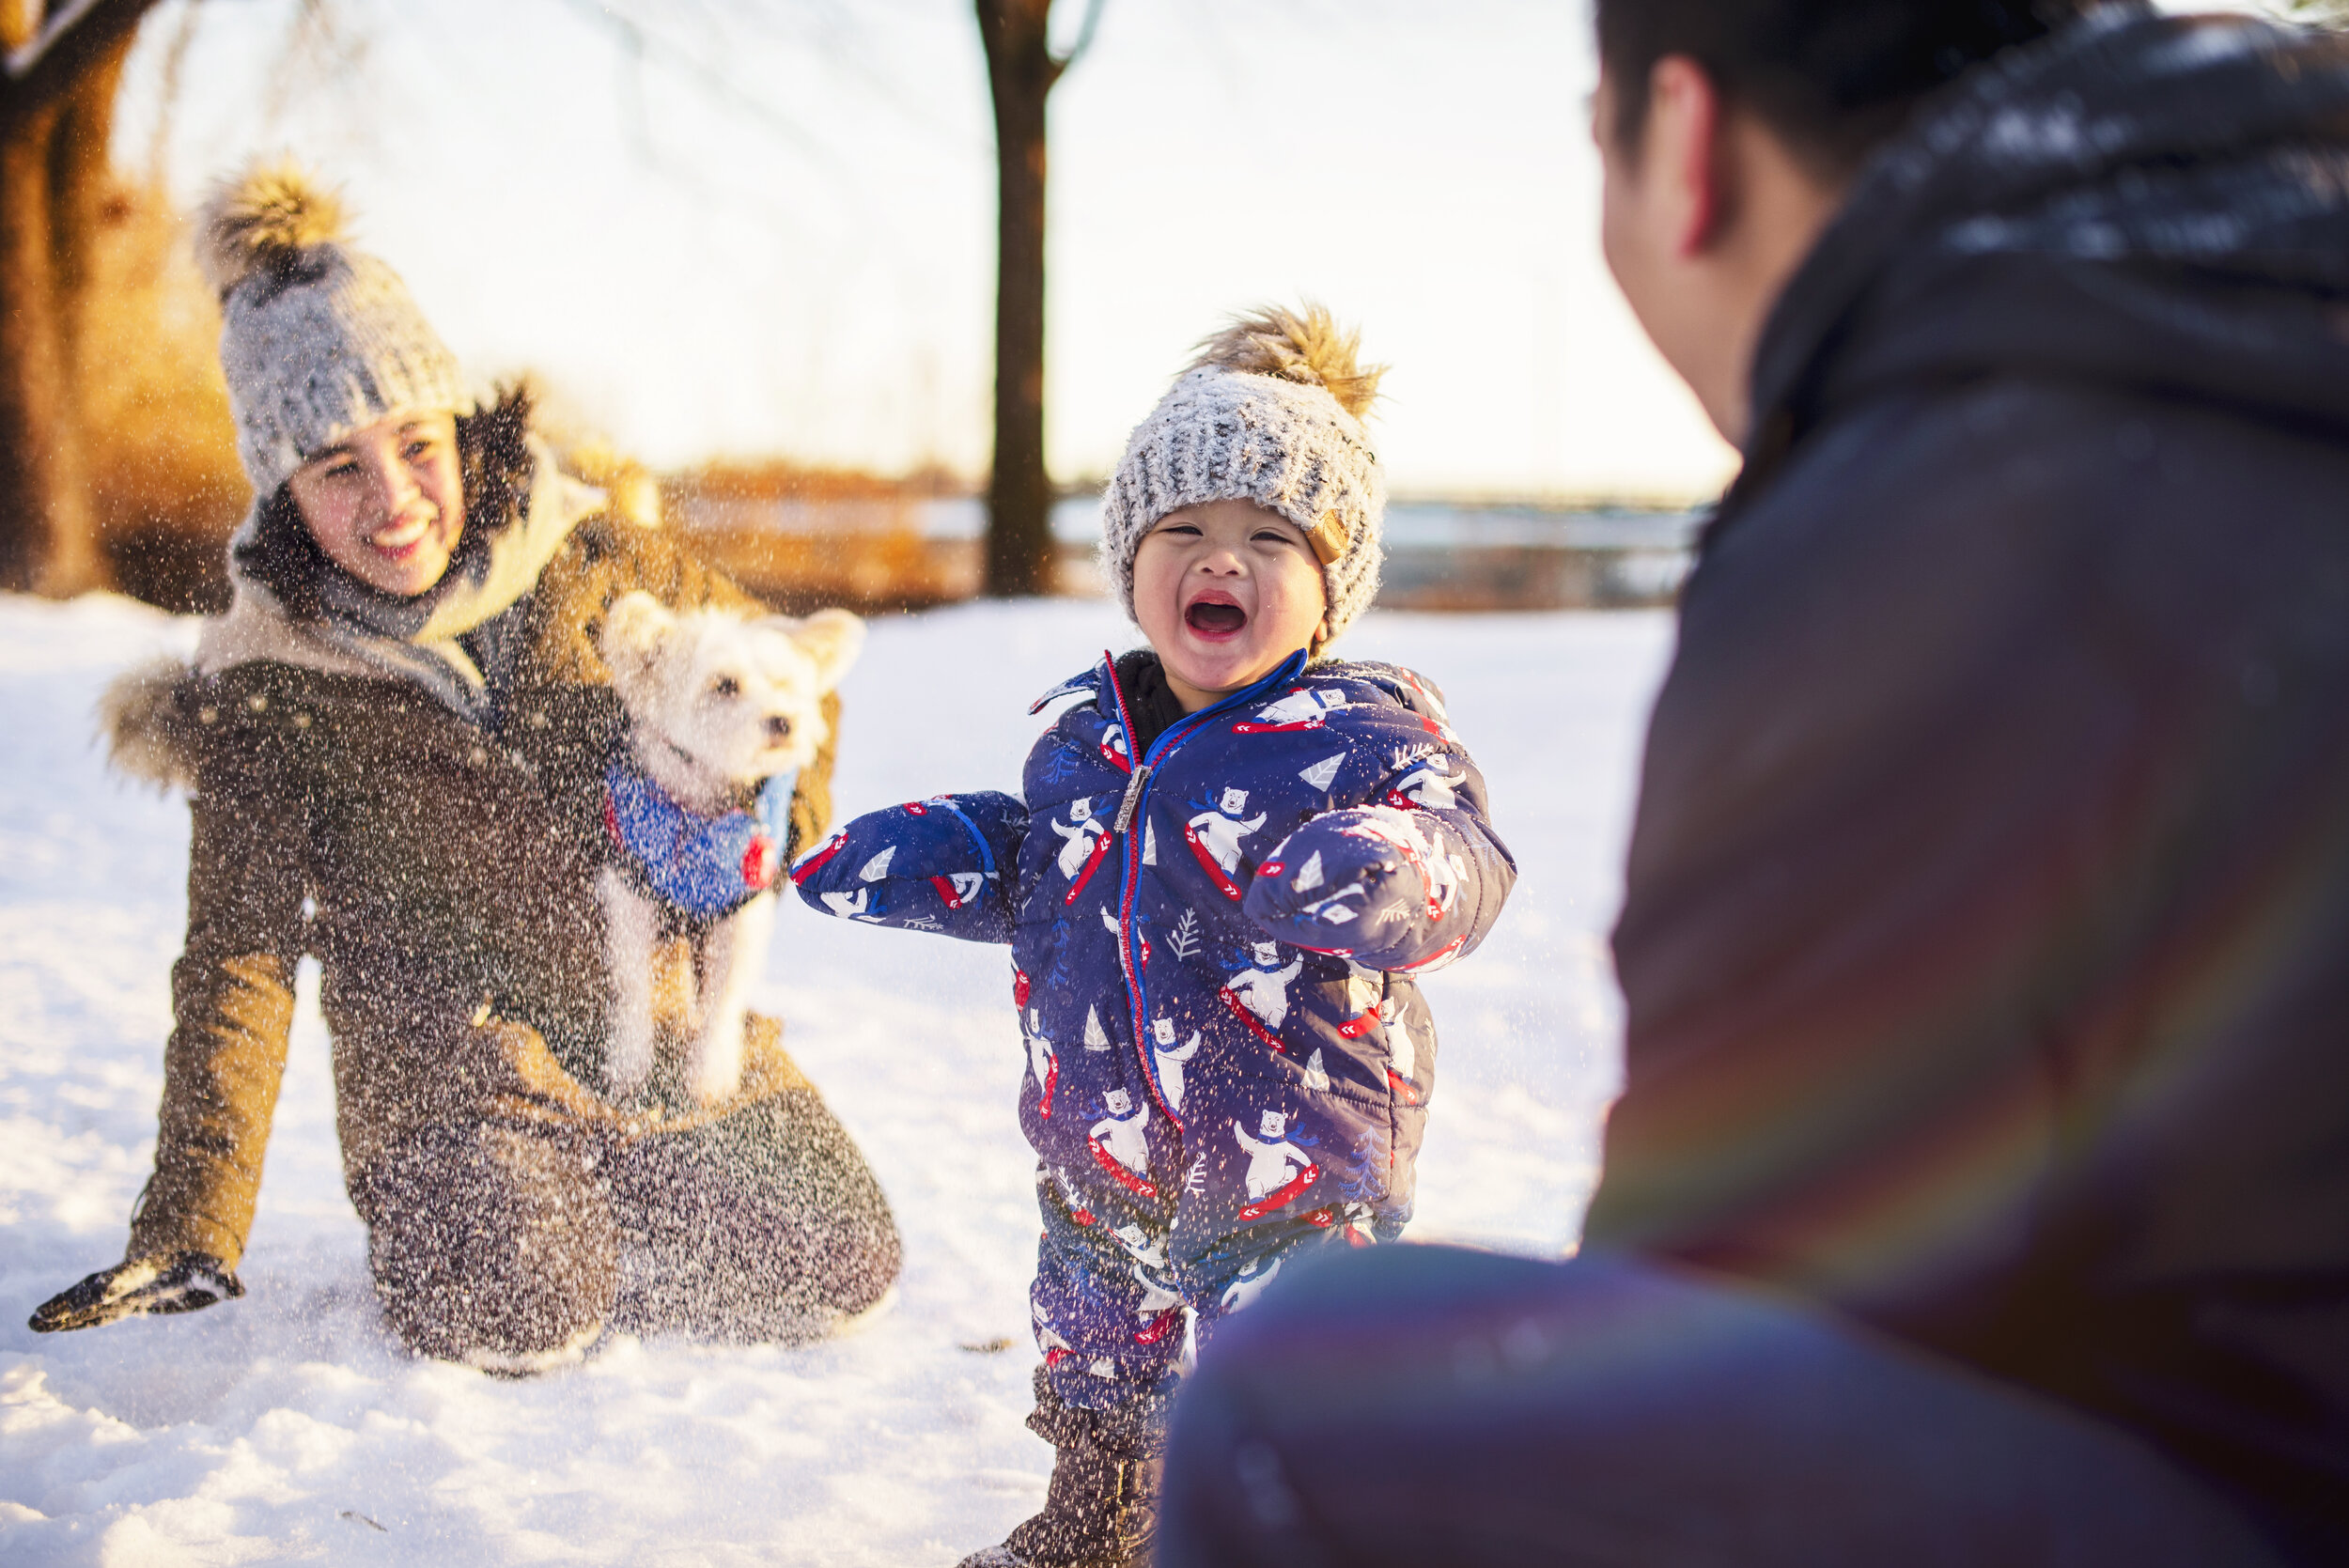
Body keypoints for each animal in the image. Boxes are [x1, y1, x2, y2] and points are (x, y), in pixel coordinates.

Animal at [597, 586, 864, 1103]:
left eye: (784, 683)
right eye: (725, 685)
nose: (783, 721)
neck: (702, 809)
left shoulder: (741, 909)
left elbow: (724, 997)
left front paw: (710, 1071)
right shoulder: (630, 892)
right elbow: (633, 983)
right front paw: (628, 1059)